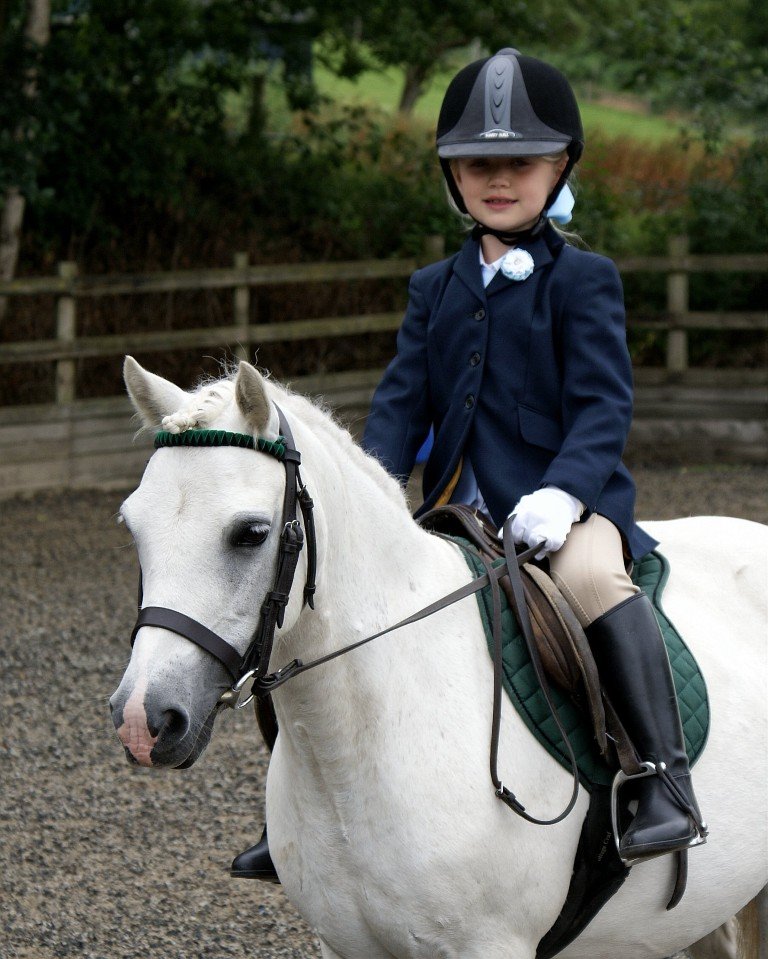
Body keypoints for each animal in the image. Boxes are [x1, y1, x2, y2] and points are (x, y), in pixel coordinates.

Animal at [110, 356, 768, 959]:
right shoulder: (341, 945)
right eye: (132, 527)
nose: (144, 719)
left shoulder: (490, 945)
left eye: (250, 532)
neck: (352, 756)